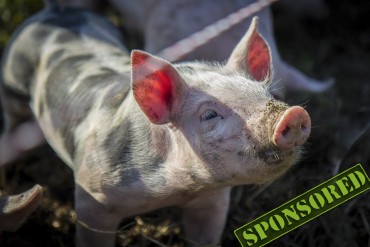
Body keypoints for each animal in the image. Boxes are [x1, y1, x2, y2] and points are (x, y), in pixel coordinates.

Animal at [0, 2, 312, 247]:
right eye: (210, 115)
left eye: (269, 95)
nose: (294, 114)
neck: (172, 193)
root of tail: (58, 10)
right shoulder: (92, 197)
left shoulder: (212, 202)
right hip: (11, 91)